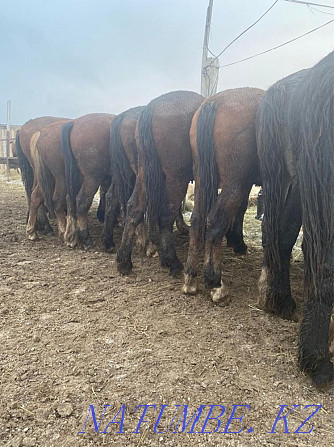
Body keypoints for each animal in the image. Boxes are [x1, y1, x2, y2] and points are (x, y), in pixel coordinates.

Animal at [61, 114, 115, 250]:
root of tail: (74, 123)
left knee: (70, 199)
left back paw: (71, 237)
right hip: (92, 178)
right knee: (82, 201)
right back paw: (86, 239)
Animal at [116, 90, 204, 276]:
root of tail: (151, 108)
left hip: (144, 172)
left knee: (134, 207)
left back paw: (124, 260)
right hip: (176, 176)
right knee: (165, 214)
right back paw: (172, 260)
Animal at [181, 88, 264, 300]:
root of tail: (215, 102)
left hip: (202, 179)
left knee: (198, 220)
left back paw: (190, 278)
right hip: (235, 183)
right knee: (215, 222)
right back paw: (216, 282)